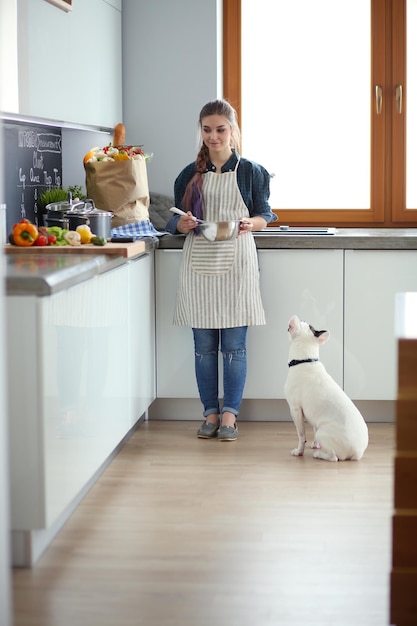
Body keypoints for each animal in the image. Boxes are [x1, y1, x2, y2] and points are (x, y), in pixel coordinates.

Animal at [282, 314, 368, 460]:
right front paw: (315, 445)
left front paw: (299, 451)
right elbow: (313, 427)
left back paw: (319, 454)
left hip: (323, 433)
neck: (305, 360)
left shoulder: (295, 410)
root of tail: (358, 452)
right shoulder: (313, 417)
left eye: (306, 324)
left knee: (334, 457)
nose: (303, 318)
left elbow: (301, 435)